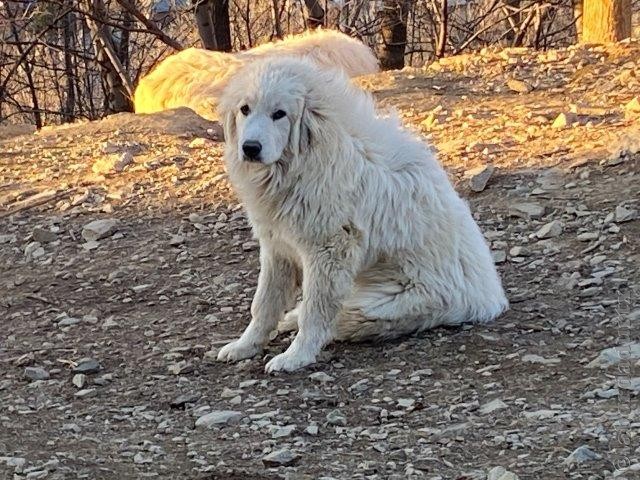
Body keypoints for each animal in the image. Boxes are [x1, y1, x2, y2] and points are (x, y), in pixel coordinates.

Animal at [218, 58, 508, 374]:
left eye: (279, 114)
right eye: (245, 109)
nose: (250, 148)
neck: (305, 157)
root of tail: (492, 299)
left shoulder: (329, 250)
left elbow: (315, 311)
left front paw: (295, 357)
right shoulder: (277, 246)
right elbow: (263, 305)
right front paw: (245, 346)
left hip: (382, 306)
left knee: (341, 317)